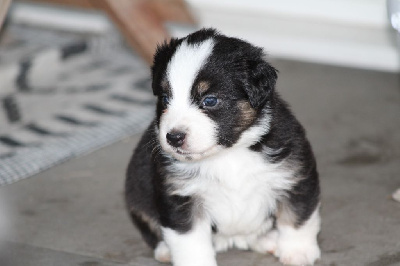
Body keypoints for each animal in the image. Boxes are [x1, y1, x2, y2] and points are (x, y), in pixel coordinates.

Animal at [126, 29, 320, 266]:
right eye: (164, 98)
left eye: (209, 100)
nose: (173, 137)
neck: (227, 153)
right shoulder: (180, 197)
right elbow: (188, 240)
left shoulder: (295, 177)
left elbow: (297, 218)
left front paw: (297, 252)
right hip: (137, 199)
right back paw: (165, 250)